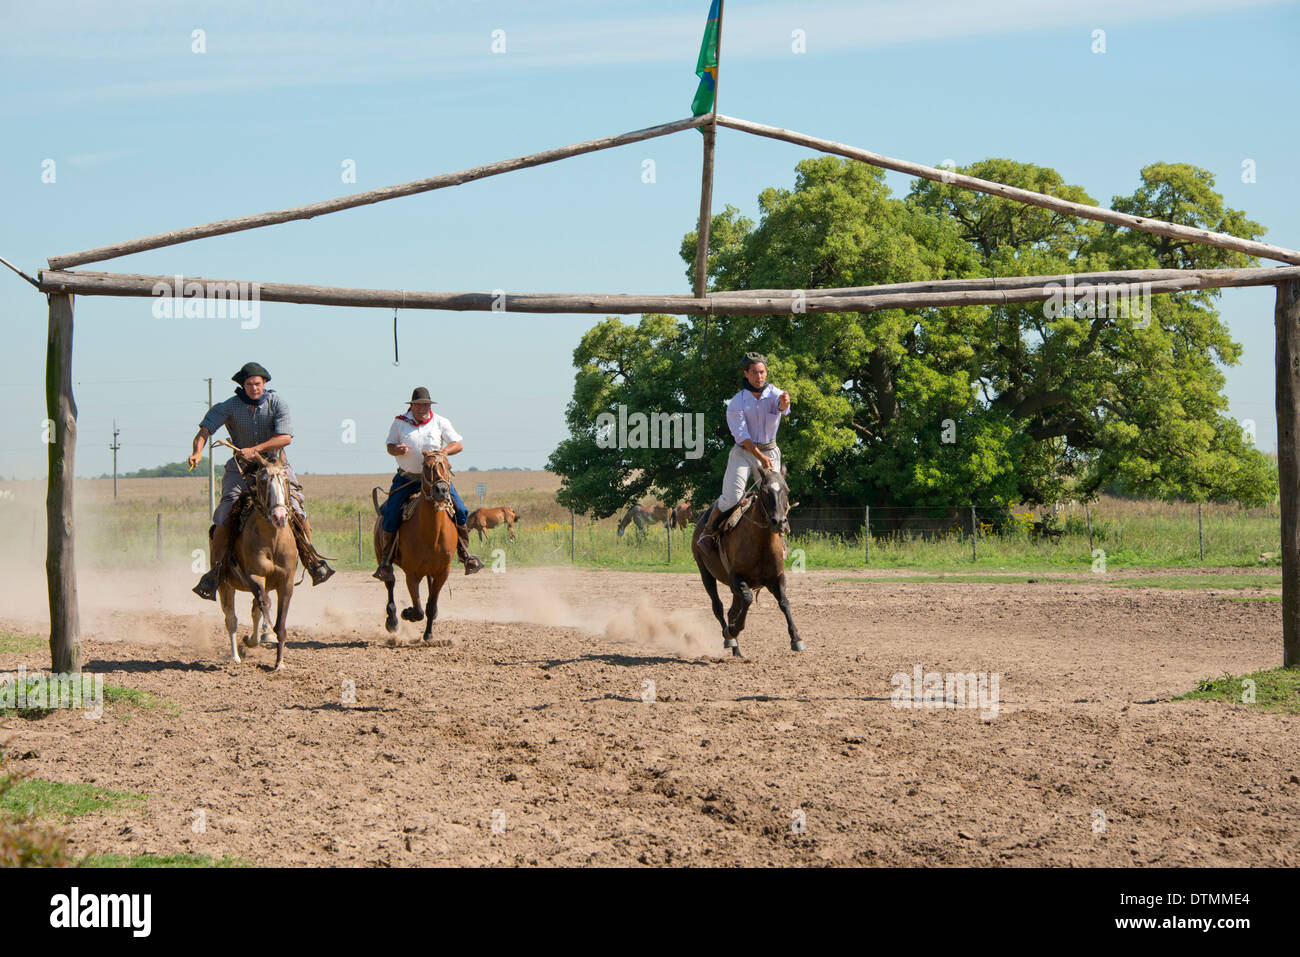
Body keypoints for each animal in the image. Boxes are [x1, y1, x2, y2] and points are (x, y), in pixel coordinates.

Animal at [219, 444, 297, 670]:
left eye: (286, 481)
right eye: (262, 482)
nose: (279, 516)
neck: (273, 541)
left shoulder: (286, 582)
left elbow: (280, 623)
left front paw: (279, 663)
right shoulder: (255, 576)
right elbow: (264, 605)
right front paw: (261, 636)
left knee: (254, 610)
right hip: (225, 585)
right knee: (231, 618)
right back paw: (235, 656)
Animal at [371, 447, 457, 642]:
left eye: (448, 466)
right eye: (426, 466)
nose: (441, 490)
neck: (432, 534)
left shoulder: (442, 573)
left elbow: (430, 606)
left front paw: (429, 634)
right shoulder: (412, 574)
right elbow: (418, 610)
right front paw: (407, 613)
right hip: (382, 558)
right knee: (389, 583)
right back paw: (392, 621)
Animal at [691, 462, 800, 657]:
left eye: (787, 490)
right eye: (765, 490)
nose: (779, 521)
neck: (761, 544)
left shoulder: (777, 578)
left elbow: (784, 602)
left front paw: (796, 639)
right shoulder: (736, 578)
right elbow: (748, 600)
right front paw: (732, 630)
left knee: (731, 611)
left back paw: (737, 650)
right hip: (706, 574)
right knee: (718, 607)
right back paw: (730, 638)